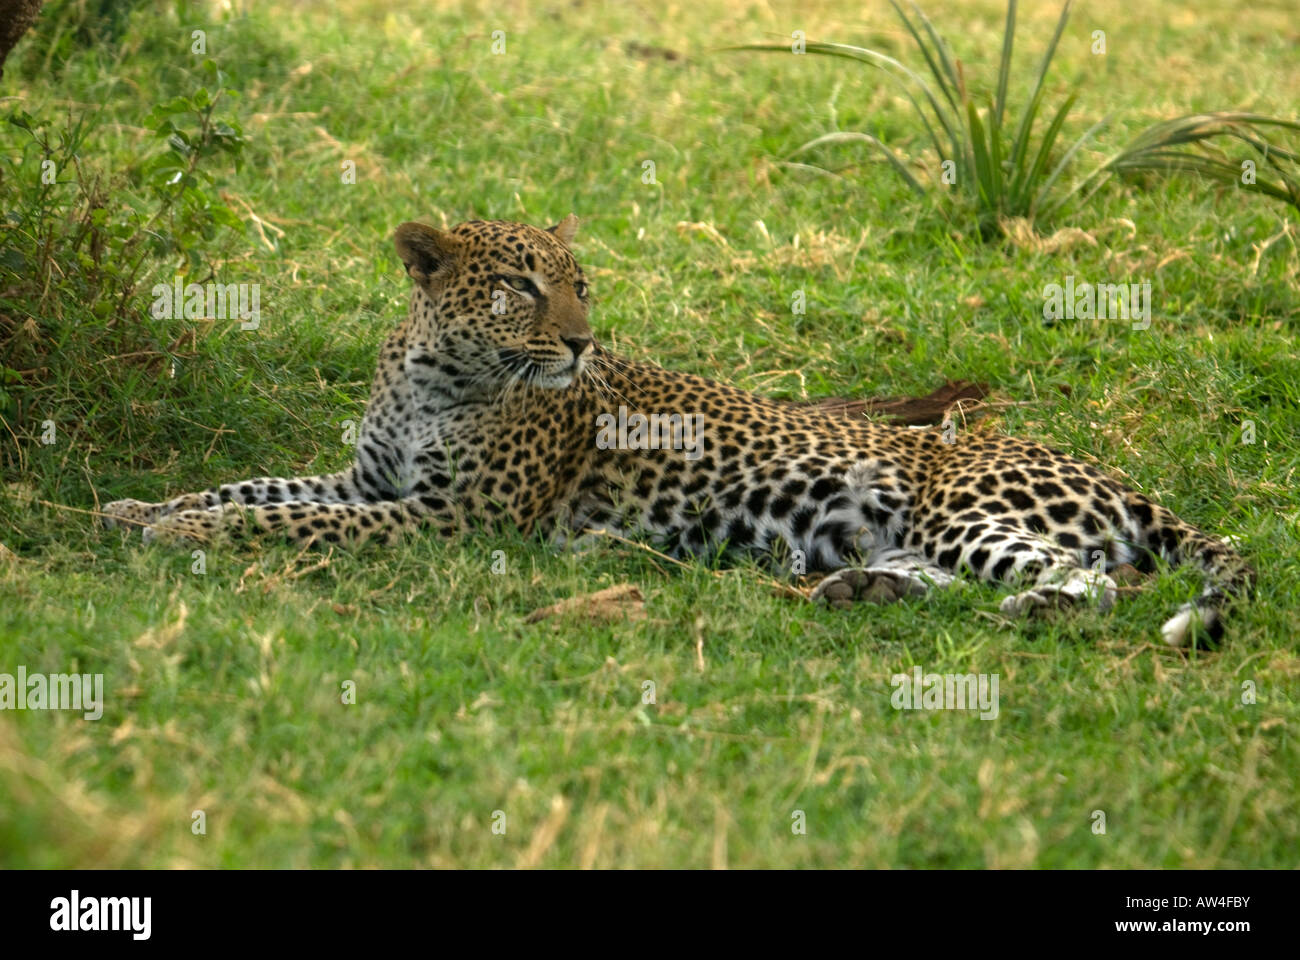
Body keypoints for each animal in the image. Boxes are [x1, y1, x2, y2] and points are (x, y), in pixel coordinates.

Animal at [102, 215, 1253, 647]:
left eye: (580, 282)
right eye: (521, 286)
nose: (581, 341)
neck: (437, 372)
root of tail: (1111, 471)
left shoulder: (448, 521)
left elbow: (288, 523)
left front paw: (183, 533)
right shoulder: (371, 485)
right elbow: (261, 490)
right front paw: (136, 507)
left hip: (961, 505)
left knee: (1097, 579)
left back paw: (1036, 611)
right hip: (915, 533)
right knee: (963, 576)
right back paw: (855, 592)